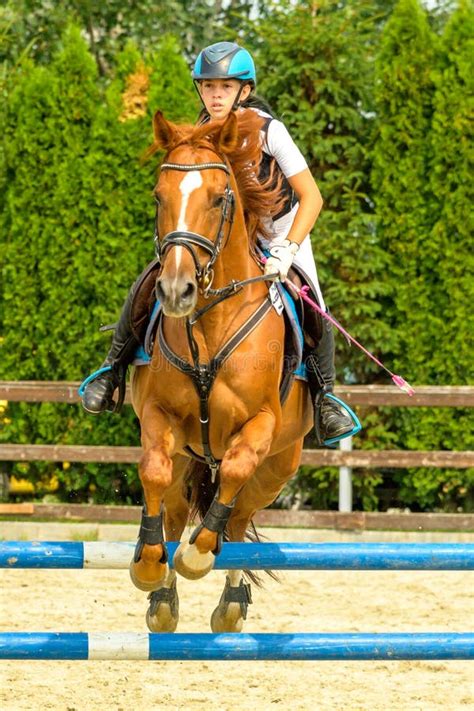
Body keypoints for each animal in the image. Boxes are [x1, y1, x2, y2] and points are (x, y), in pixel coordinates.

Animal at [129, 108, 313, 633]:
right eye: (159, 197)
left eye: (217, 198)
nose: (175, 291)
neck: (210, 324)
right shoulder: (159, 415)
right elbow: (152, 470)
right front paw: (149, 563)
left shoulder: (261, 424)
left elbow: (234, 467)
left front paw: (196, 556)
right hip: (188, 460)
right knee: (174, 512)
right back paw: (162, 595)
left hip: (275, 472)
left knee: (235, 519)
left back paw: (229, 599)